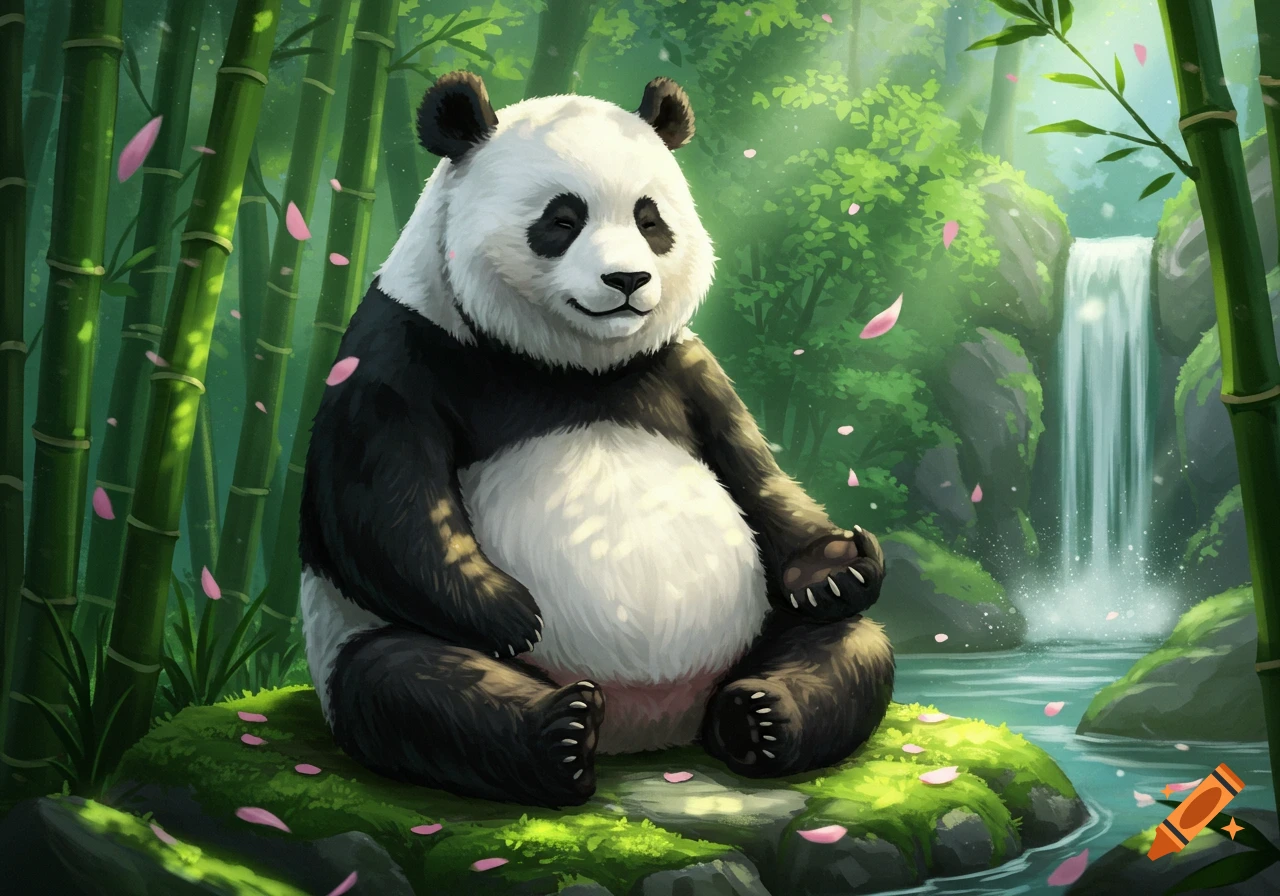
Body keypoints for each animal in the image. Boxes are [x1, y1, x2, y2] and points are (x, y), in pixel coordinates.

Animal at [298, 70, 895, 809]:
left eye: (650, 219)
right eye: (562, 219)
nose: (627, 280)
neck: (574, 366)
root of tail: (651, 726)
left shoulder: (682, 366)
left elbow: (754, 472)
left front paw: (836, 567)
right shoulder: (403, 346)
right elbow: (381, 506)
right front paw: (510, 612)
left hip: (758, 630)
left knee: (846, 646)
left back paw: (757, 716)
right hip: (357, 635)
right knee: (411, 685)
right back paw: (559, 733)